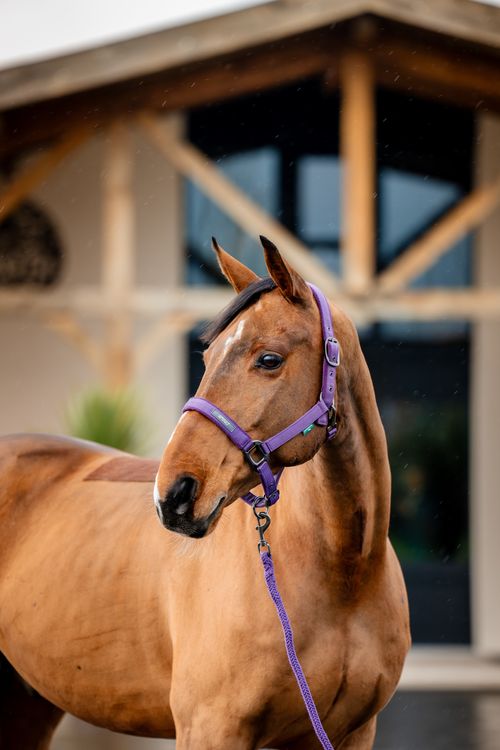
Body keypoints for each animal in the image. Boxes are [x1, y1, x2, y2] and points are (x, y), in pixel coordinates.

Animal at [0, 236, 408, 750]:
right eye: (207, 359)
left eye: (269, 359)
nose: (173, 494)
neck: (345, 575)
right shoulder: (211, 727)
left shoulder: (351, 732)